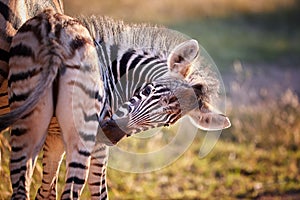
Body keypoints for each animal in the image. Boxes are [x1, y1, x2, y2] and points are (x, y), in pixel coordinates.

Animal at [0, 8, 231, 200]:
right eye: (148, 89)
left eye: (166, 124)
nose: (110, 134)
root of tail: (53, 33)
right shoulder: (97, 145)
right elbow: (99, 192)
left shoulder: (54, 136)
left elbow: (46, 191)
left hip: (31, 123)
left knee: (22, 188)